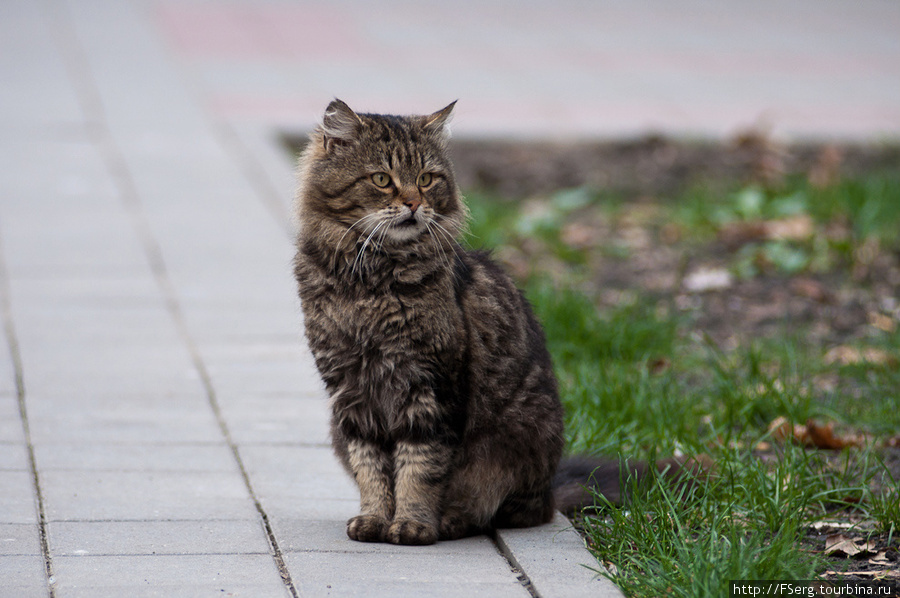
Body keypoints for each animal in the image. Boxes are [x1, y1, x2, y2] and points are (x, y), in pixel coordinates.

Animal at [296, 101, 704, 548]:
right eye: (382, 180)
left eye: (426, 179)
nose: (413, 204)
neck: (369, 282)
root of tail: (550, 491)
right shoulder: (351, 393)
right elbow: (371, 470)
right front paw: (374, 519)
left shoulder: (431, 385)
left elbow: (419, 468)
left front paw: (412, 525)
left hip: (516, 438)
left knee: (507, 511)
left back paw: (452, 521)